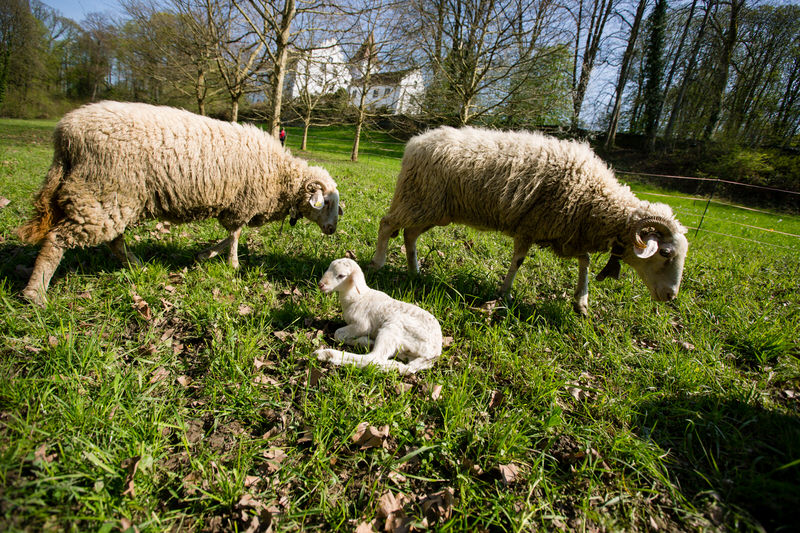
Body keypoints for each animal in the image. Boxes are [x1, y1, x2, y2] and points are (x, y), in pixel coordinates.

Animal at [16, 101, 342, 305]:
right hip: (103, 190)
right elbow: (235, 235)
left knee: (114, 239)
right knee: (58, 239)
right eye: (326, 202)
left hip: (115, 196)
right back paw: (35, 294)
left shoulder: (235, 205)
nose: (332, 230)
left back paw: (135, 265)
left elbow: (230, 235)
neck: (283, 176)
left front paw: (205, 255)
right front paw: (232, 264)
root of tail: (64, 135)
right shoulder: (241, 203)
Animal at [314, 258, 442, 375]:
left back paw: (325, 354)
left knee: (374, 359)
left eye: (341, 275)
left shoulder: (362, 325)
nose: (321, 285)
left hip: (393, 328)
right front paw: (364, 341)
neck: (358, 297)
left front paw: (365, 341)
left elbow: (337, 333)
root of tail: (434, 352)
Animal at [370, 126, 689, 315]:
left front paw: (581, 301)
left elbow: (584, 261)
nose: (671, 296)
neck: (596, 200)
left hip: (433, 208)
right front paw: (505, 293)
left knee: (409, 234)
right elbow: (519, 261)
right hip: (418, 199)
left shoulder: (566, 234)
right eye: (665, 252)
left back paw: (415, 271)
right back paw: (379, 262)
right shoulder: (531, 226)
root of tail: (416, 141)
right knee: (387, 223)